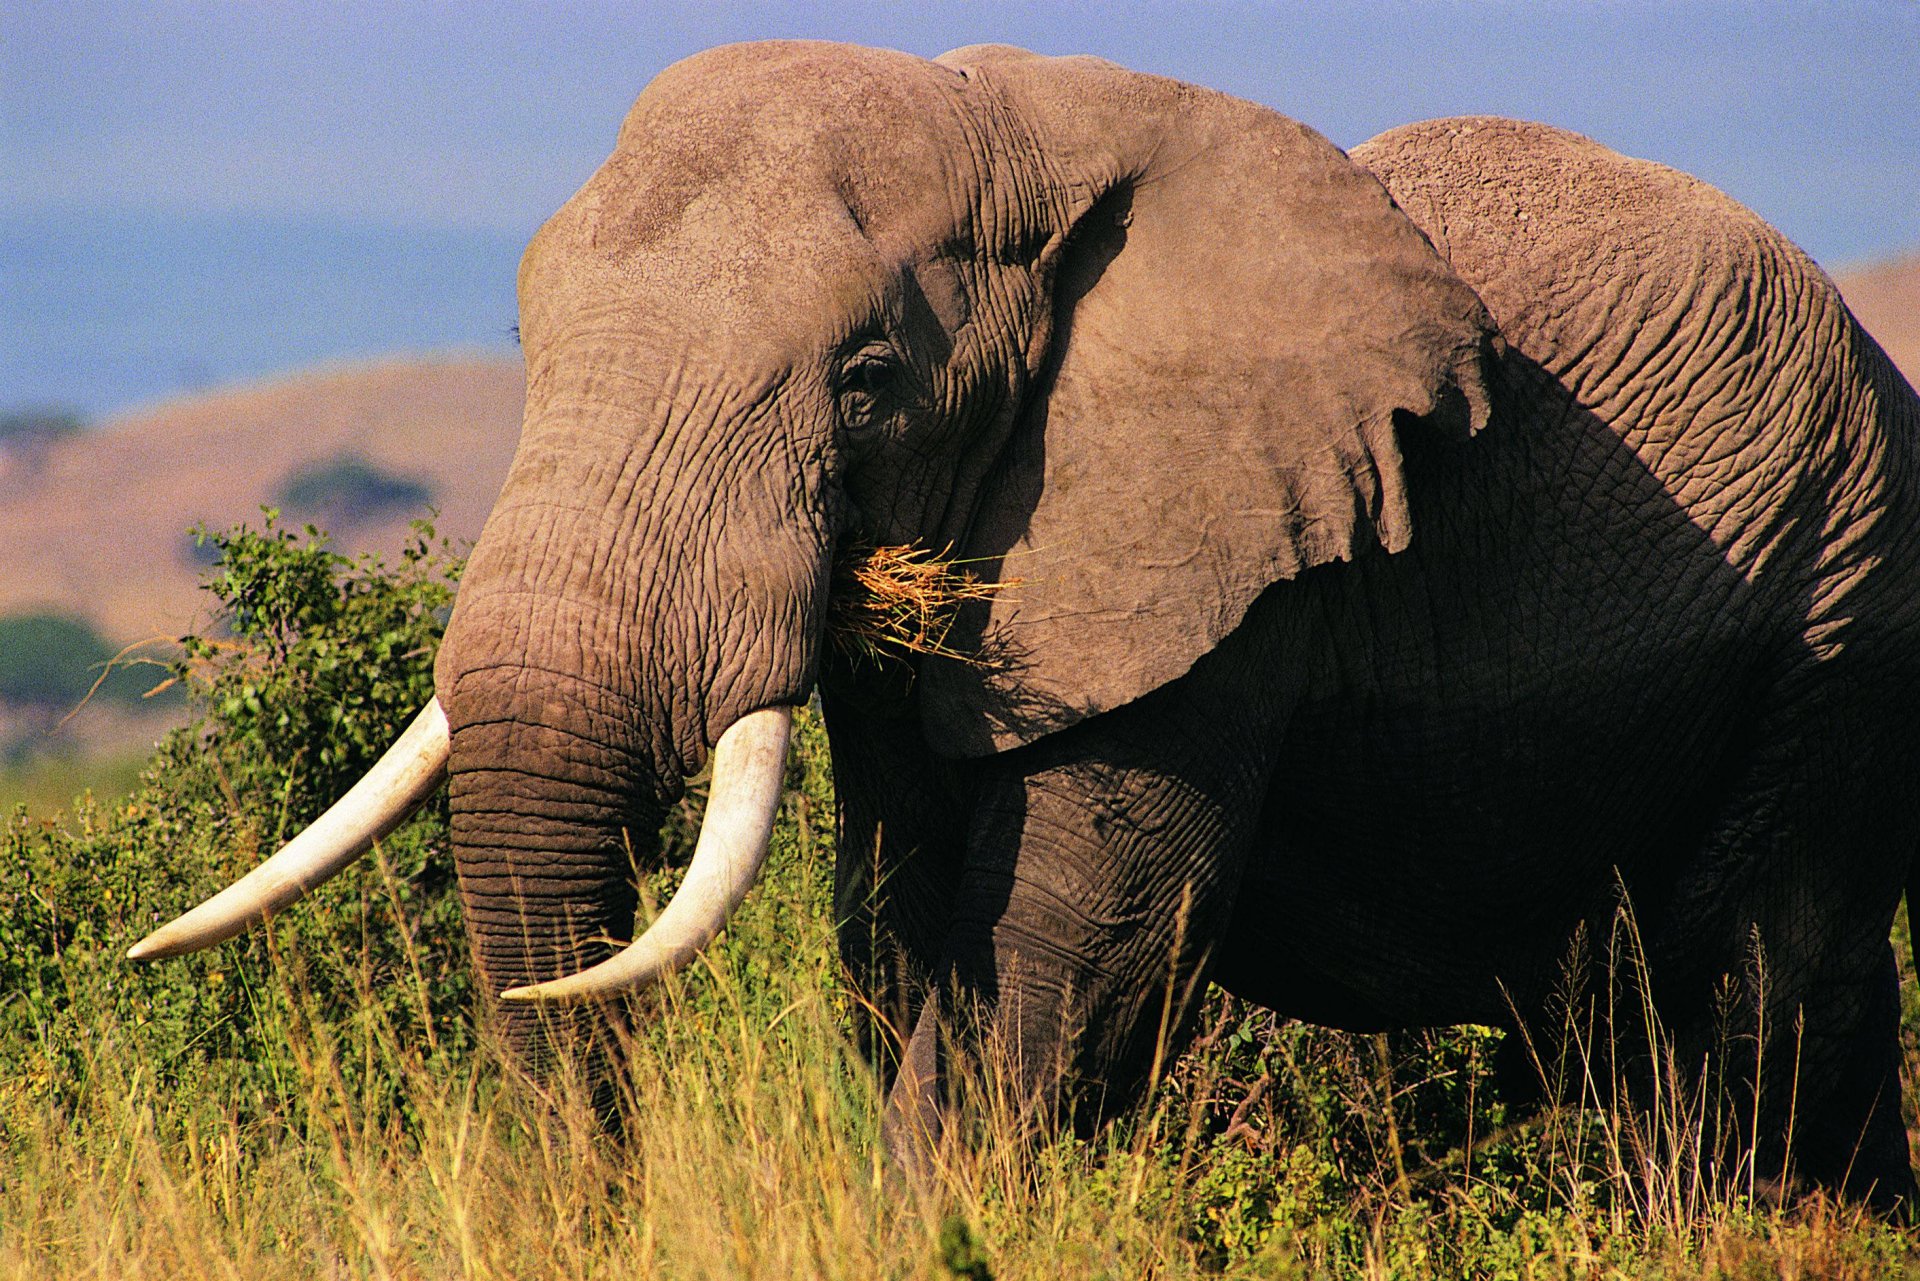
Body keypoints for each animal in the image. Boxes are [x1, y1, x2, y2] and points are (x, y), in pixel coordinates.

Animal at [131, 41, 1920, 1207]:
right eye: (526, 340)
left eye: (867, 383)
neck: (1015, 120)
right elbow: (897, 932)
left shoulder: (1225, 566)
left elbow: (1070, 942)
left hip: (1841, 616)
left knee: (1747, 1009)